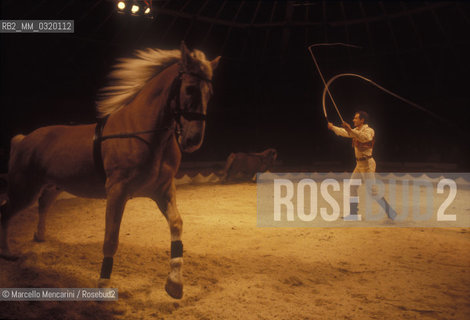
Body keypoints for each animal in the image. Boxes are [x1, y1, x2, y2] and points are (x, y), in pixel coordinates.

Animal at [0, 43, 220, 300]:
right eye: (190, 89)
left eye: (210, 93)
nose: (193, 140)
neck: (144, 134)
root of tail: (23, 139)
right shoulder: (117, 191)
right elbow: (111, 238)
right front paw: (103, 286)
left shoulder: (163, 190)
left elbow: (176, 224)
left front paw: (174, 283)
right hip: (24, 189)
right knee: (7, 212)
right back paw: (8, 252)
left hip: (53, 185)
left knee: (43, 204)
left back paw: (40, 236)